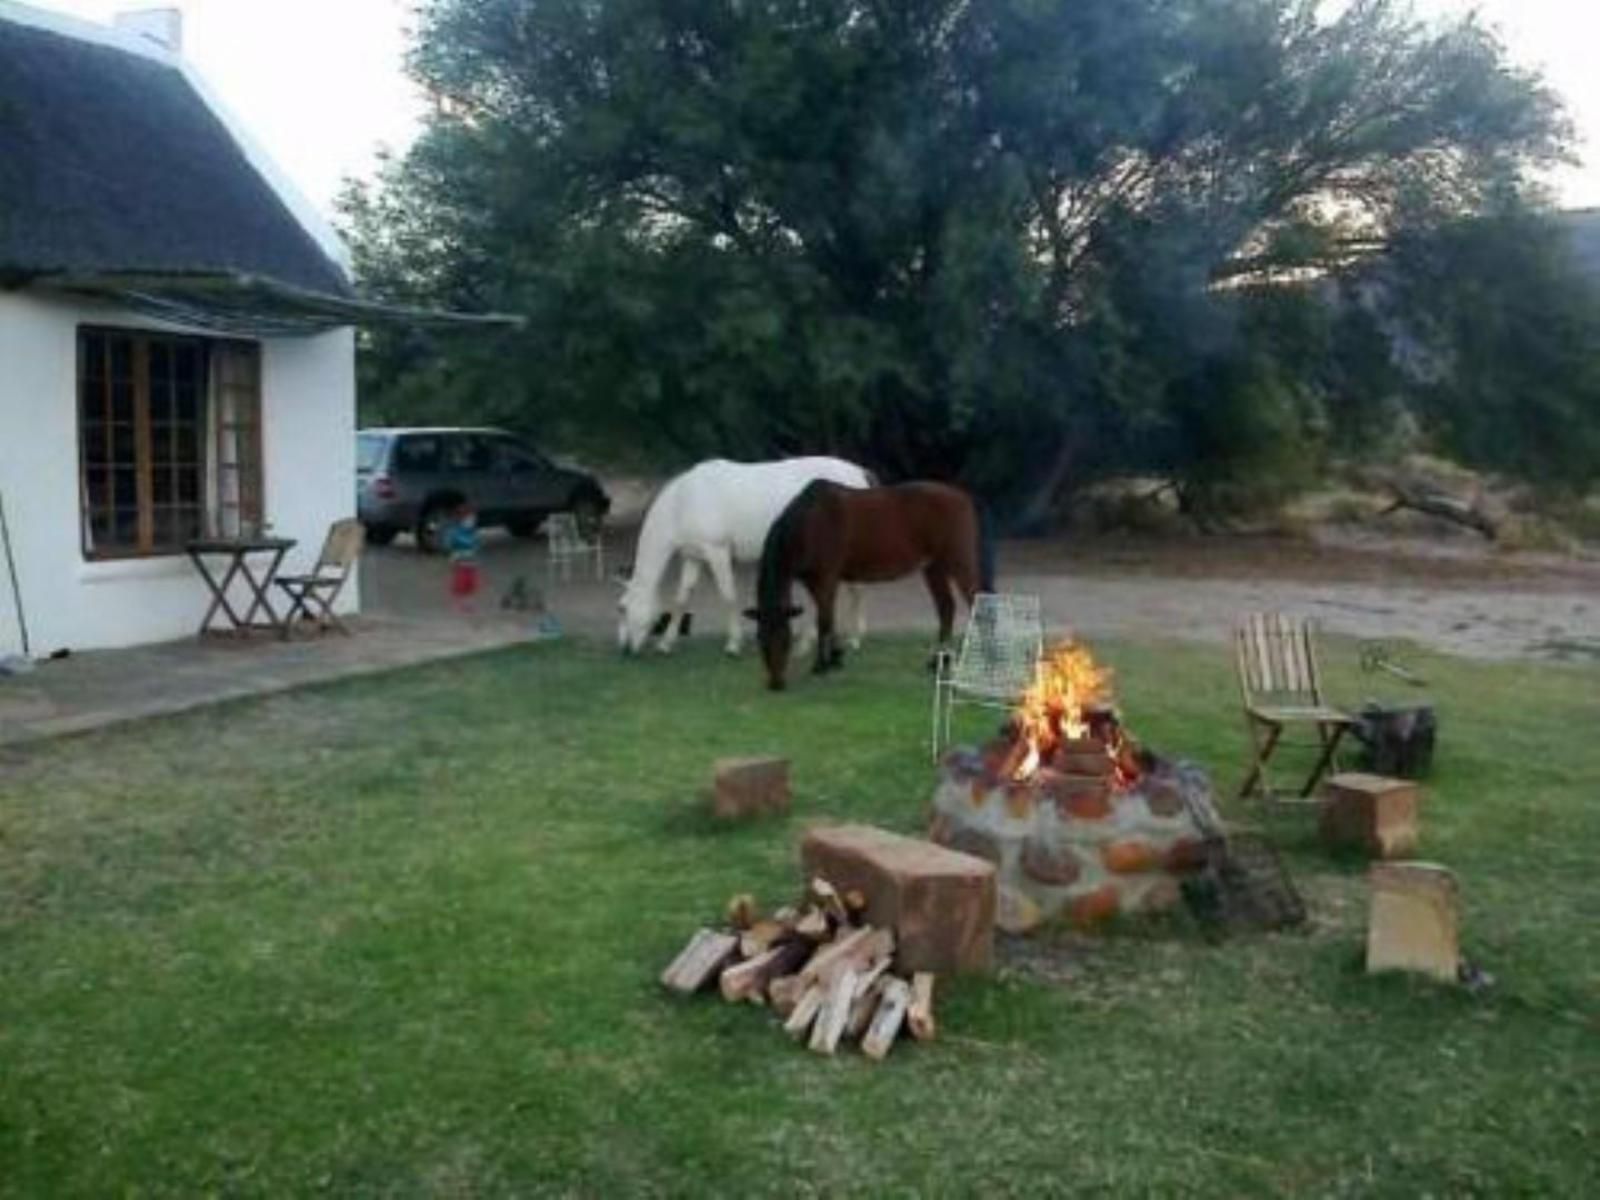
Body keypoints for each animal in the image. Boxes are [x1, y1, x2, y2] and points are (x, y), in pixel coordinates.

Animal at [614, 457, 870, 659]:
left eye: (622, 608)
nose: (624, 649)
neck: (683, 502)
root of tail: (858, 473)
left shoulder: (717, 552)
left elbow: (728, 595)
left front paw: (733, 645)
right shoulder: (693, 557)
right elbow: (682, 598)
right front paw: (666, 644)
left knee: (855, 590)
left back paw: (854, 639)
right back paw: (808, 644)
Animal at [745, 480, 985, 684]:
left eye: (785, 638)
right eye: (760, 637)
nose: (776, 683)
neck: (810, 522)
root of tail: (963, 498)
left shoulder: (826, 578)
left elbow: (824, 620)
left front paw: (821, 666)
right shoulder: (814, 581)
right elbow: (828, 617)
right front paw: (835, 658)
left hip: (958, 562)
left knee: (976, 602)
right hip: (933, 567)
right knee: (946, 608)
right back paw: (937, 662)